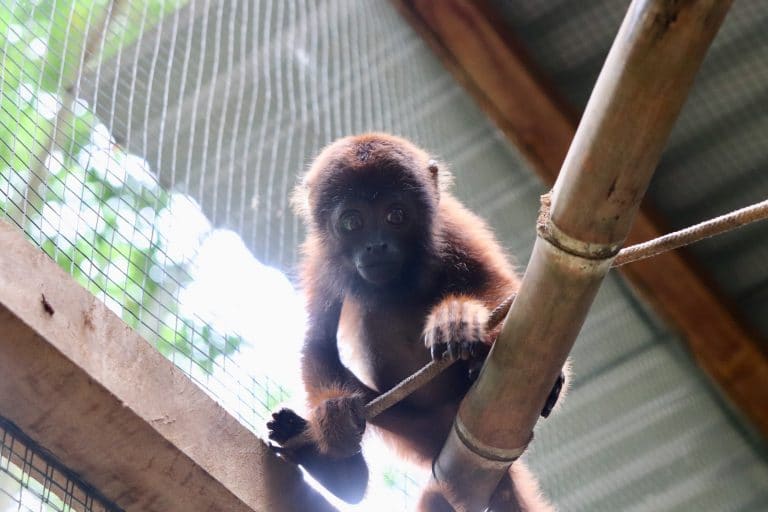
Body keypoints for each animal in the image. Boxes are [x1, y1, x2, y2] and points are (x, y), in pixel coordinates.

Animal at [267, 133, 562, 511]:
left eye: (396, 215)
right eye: (351, 222)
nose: (376, 246)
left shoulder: (453, 224)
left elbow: (505, 288)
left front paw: (457, 317)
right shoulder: (320, 261)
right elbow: (317, 341)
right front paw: (331, 414)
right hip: (407, 425)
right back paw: (338, 471)